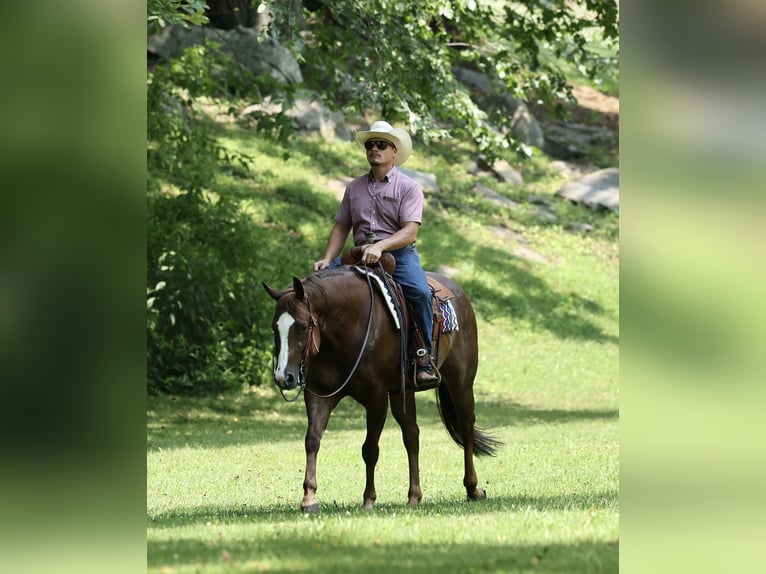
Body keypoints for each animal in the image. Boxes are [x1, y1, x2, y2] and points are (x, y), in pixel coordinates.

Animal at [263, 263, 501, 512]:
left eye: (301, 327)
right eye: (274, 327)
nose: (283, 377)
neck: (346, 327)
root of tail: (459, 293)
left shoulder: (376, 398)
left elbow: (370, 449)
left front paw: (368, 499)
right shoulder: (319, 395)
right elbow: (312, 440)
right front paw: (309, 497)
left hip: (461, 383)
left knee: (465, 426)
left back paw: (473, 488)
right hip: (402, 393)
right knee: (412, 435)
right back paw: (414, 496)